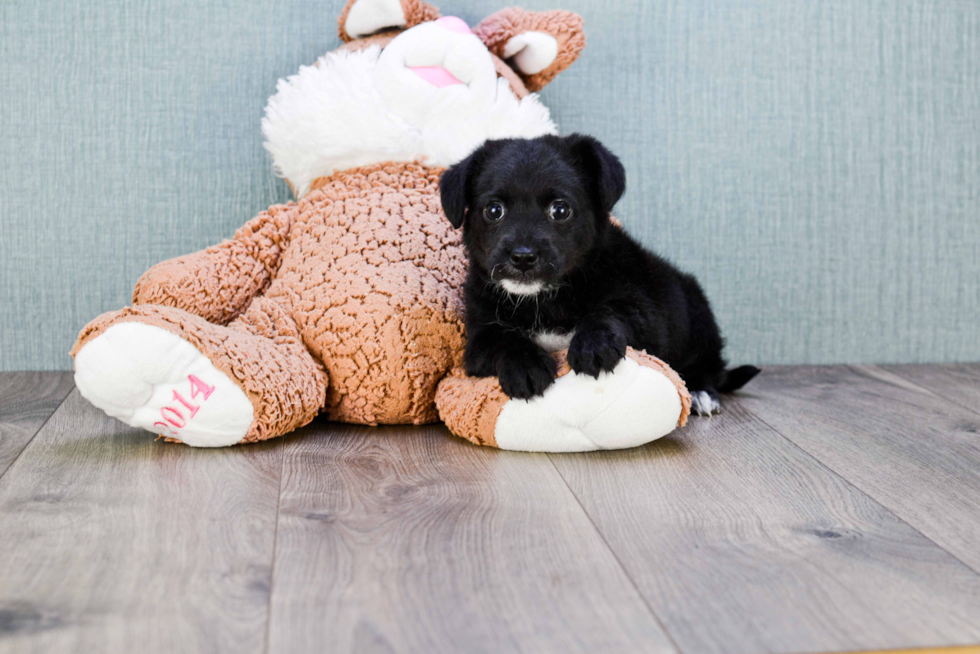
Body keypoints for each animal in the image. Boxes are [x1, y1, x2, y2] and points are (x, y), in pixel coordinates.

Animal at [440, 136, 760, 418]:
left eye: (560, 210)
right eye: (494, 210)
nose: (522, 257)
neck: (544, 300)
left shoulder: (645, 314)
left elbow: (610, 310)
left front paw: (594, 344)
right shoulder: (477, 340)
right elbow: (501, 338)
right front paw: (525, 366)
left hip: (698, 321)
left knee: (707, 367)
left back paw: (700, 392)